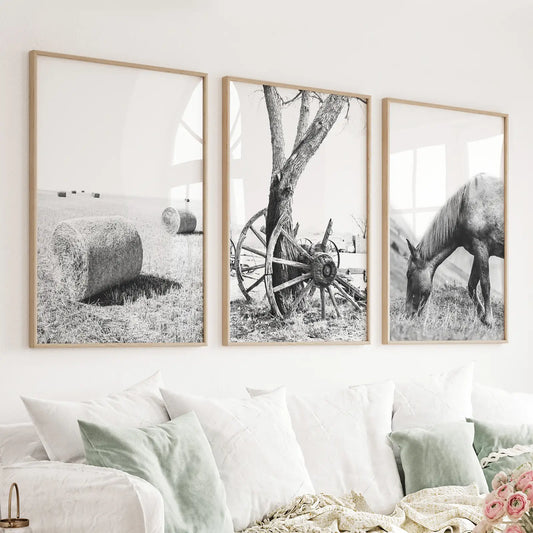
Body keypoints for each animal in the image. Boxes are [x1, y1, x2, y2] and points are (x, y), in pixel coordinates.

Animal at [408, 175, 502, 324]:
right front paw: (481, 314)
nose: (408, 314)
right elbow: (471, 285)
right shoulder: (479, 250)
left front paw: (489, 320)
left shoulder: (482, 248)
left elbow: (485, 284)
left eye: (409, 275)